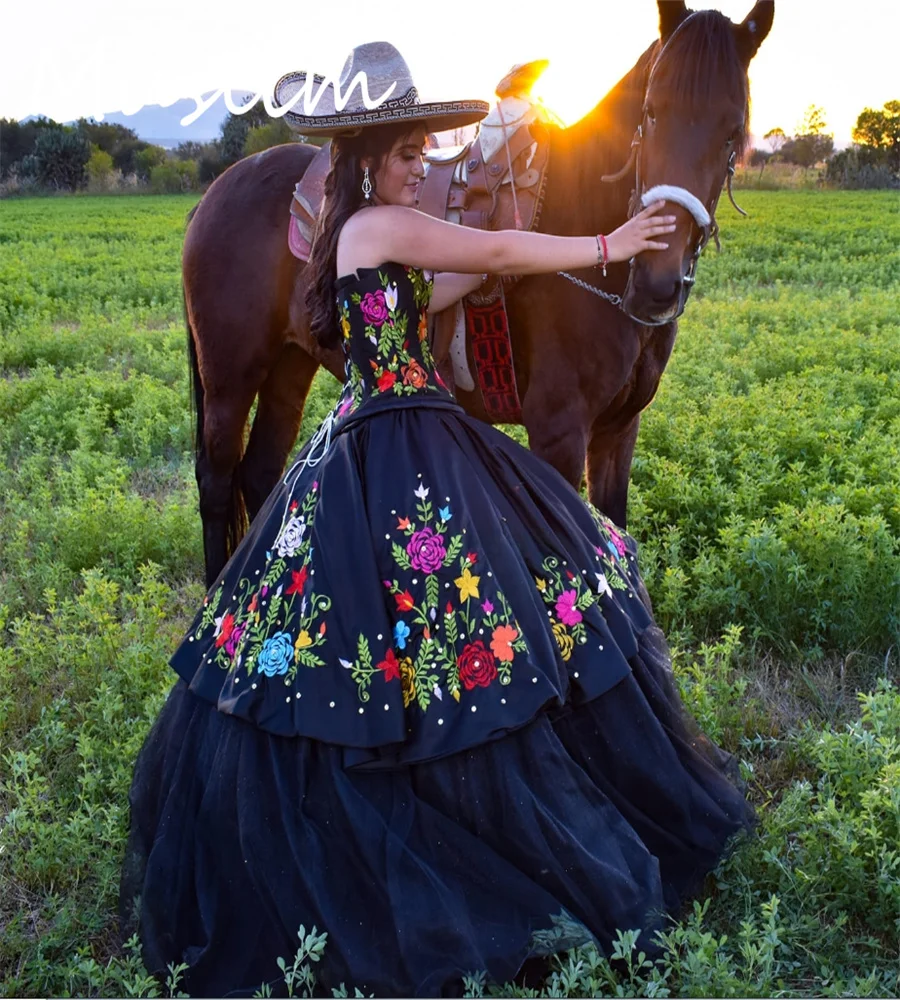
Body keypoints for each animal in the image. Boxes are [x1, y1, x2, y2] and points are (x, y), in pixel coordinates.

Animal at [185, 1, 772, 584]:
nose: (657, 282)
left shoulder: (619, 431)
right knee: (216, 479)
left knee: (260, 472)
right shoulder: (559, 431)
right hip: (230, 378)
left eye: (733, 131)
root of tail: (216, 190)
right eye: (650, 113)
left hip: (289, 362)